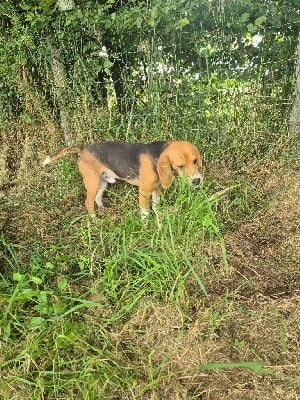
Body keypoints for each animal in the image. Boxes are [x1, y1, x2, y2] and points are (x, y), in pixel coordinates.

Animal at [42, 141, 202, 220]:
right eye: (180, 166)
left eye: (195, 161)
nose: (197, 181)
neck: (157, 155)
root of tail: (83, 148)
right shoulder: (144, 192)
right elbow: (145, 213)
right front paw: (145, 228)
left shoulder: (156, 188)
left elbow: (156, 206)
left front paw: (159, 219)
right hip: (92, 182)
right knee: (88, 202)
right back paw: (95, 220)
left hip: (102, 182)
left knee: (97, 198)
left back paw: (103, 210)